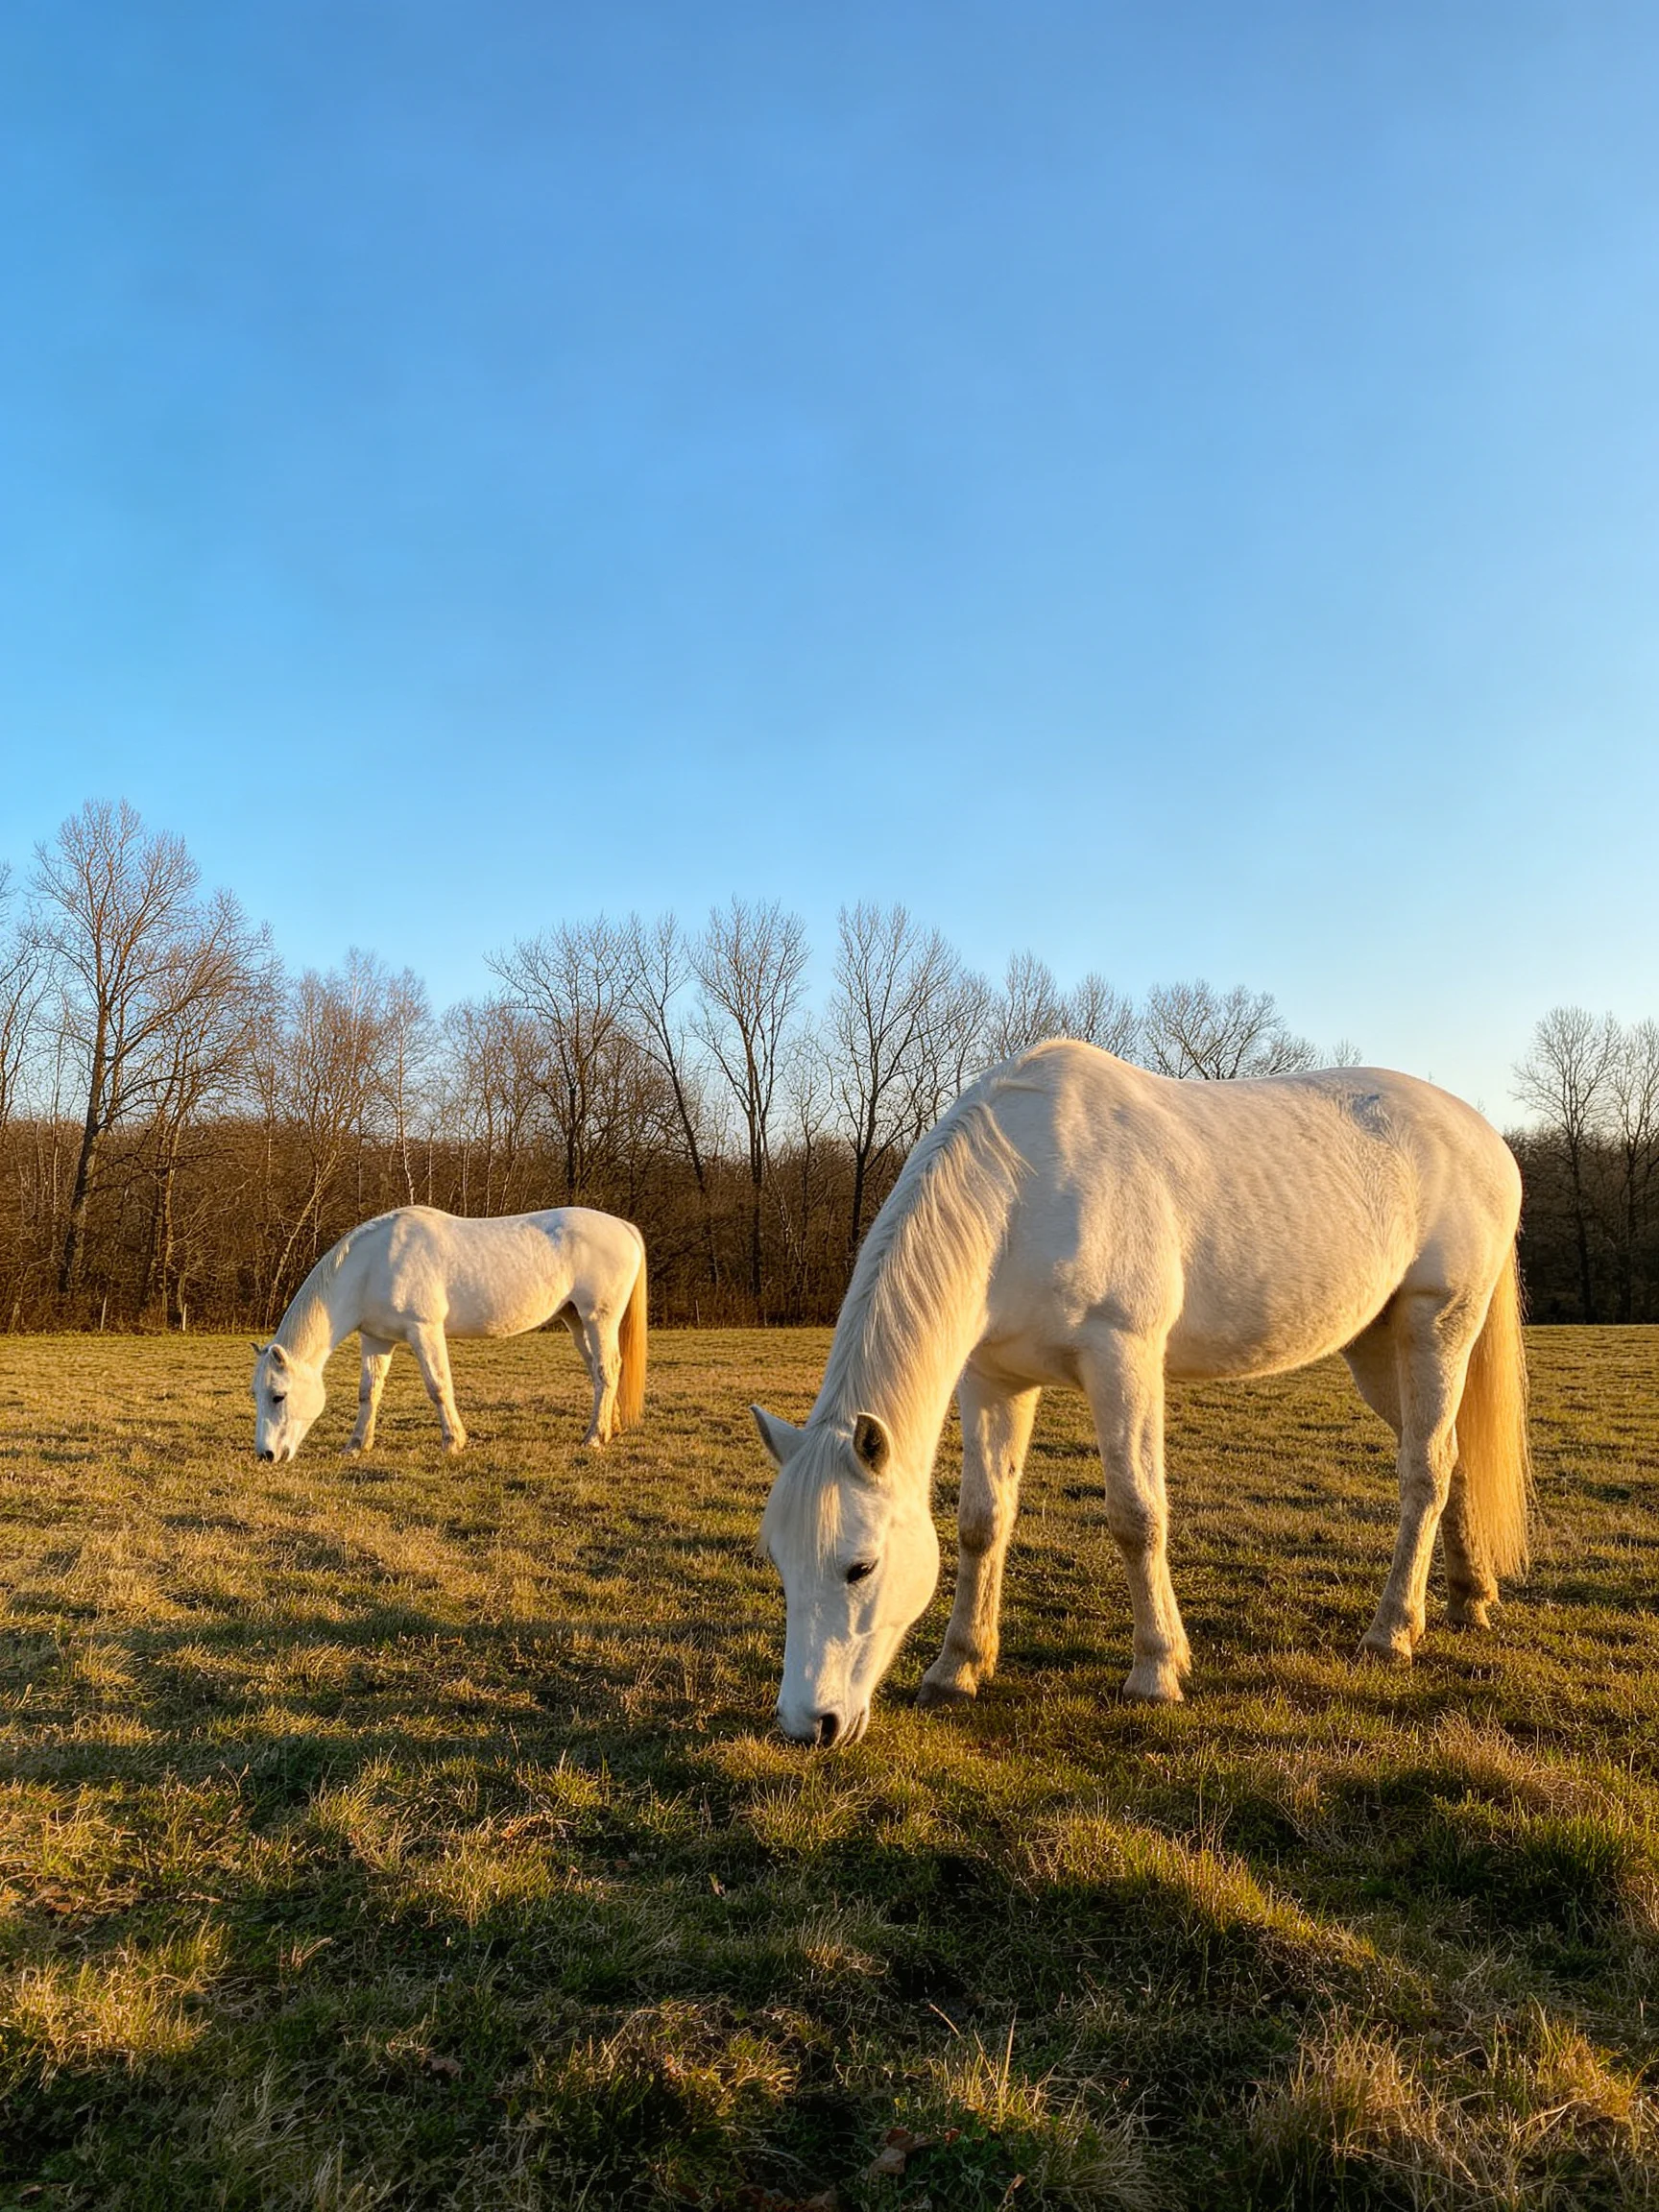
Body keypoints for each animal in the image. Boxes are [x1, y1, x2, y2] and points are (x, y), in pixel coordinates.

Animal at [251, 1205, 646, 1461]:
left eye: (278, 1396)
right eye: (256, 1394)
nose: (266, 1454)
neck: (372, 1265)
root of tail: (624, 1227)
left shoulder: (424, 1330)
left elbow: (438, 1386)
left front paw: (453, 1441)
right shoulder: (377, 1339)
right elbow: (369, 1392)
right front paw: (356, 1445)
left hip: (599, 1318)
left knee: (607, 1369)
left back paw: (594, 1438)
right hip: (576, 1320)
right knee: (601, 1371)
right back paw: (609, 1428)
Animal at [753, 1041, 1530, 1747]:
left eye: (860, 1567)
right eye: (779, 1564)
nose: (808, 1725)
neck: (1022, 1190)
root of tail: (1485, 1136)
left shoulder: (1122, 1360)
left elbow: (1137, 1517)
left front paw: (1156, 1671)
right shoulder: (993, 1380)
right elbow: (982, 1521)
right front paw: (958, 1669)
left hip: (1436, 1328)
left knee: (1424, 1473)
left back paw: (1392, 1632)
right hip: (1376, 1349)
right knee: (1452, 1456)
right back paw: (1469, 1600)